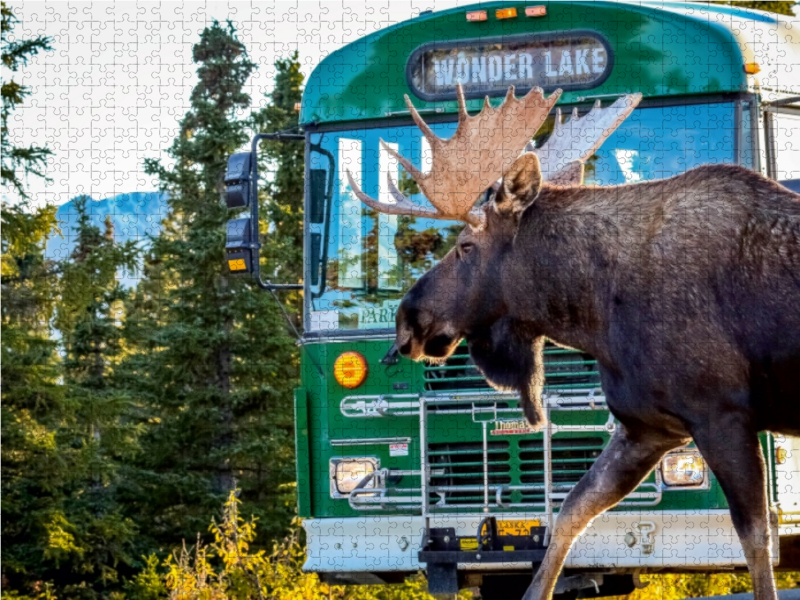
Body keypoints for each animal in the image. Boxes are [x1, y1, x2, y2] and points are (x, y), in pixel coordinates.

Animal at [348, 84, 800, 600]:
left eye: (465, 246)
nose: (407, 320)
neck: (594, 311)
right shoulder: (648, 427)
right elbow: (570, 513)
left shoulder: (721, 414)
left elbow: (756, 539)